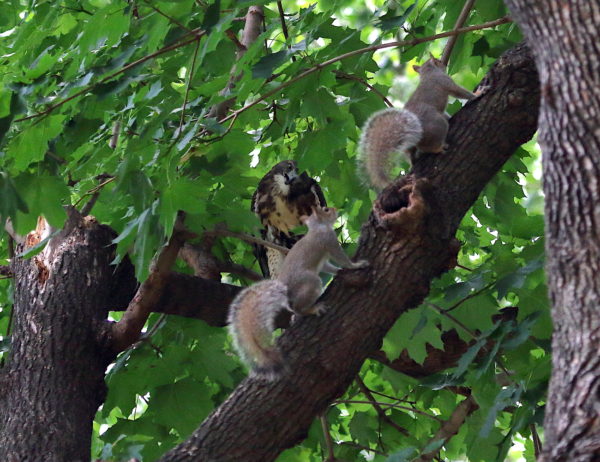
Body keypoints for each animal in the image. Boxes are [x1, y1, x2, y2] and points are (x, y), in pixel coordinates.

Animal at [226, 206, 368, 378]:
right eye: (326, 210)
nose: (335, 209)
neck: (317, 227)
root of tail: (285, 292)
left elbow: (328, 266)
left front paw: (338, 271)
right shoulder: (329, 241)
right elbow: (342, 259)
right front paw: (356, 265)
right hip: (311, 283)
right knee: (299, 306)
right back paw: (313, 309)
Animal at [358, 57, 480, 189]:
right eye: (438, 61)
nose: (444, 62)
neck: (428, 73)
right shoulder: (445, 82)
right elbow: (460, 92)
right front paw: (477, 94)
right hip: (438, 125)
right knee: (429, 146)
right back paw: (439, 148)